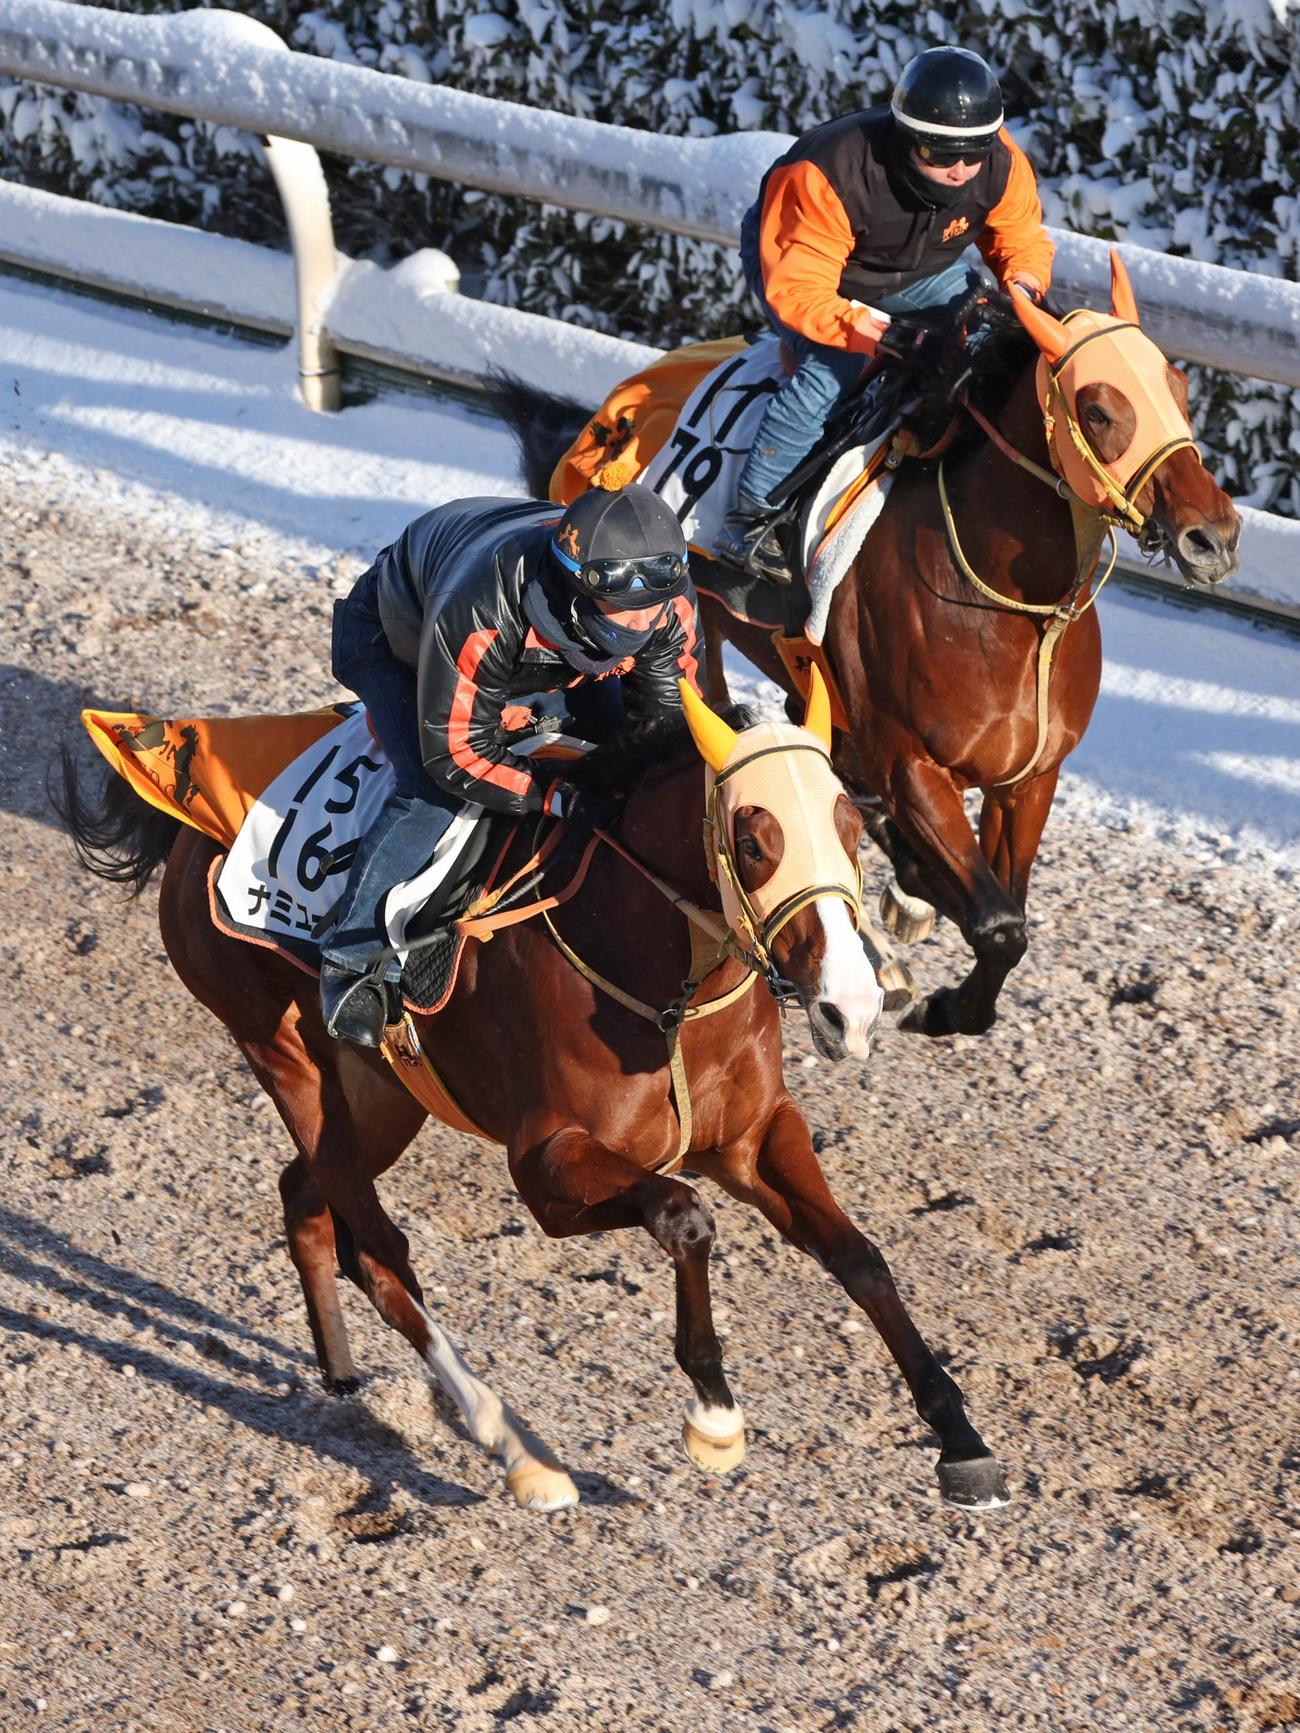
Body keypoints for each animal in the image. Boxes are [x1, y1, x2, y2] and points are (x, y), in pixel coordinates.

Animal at [57, 675, 1014, 1514]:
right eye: (753, 840)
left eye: (853, 824)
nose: (852, 1006)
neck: (666, 979)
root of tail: (183, 825)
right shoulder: (549, 1170)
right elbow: (684, 1214)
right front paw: (714, 1414)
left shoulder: (754, 1135)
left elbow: (860, 1255)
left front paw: (962, 1442)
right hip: (282, 1052)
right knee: (380, 1250)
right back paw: (519, 1451)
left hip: (380, 1091)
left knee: (307, 1195)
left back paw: (342, 1370)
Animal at [492, 253, 1242, 1039]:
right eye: (1098, 409)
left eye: (1177, 387)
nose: (1214, 535)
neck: (1007, 606)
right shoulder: (912, 764)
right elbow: (997, 920)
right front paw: (943, 1002)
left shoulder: (1030, 776)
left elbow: (1003, 904)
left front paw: (934, 953)